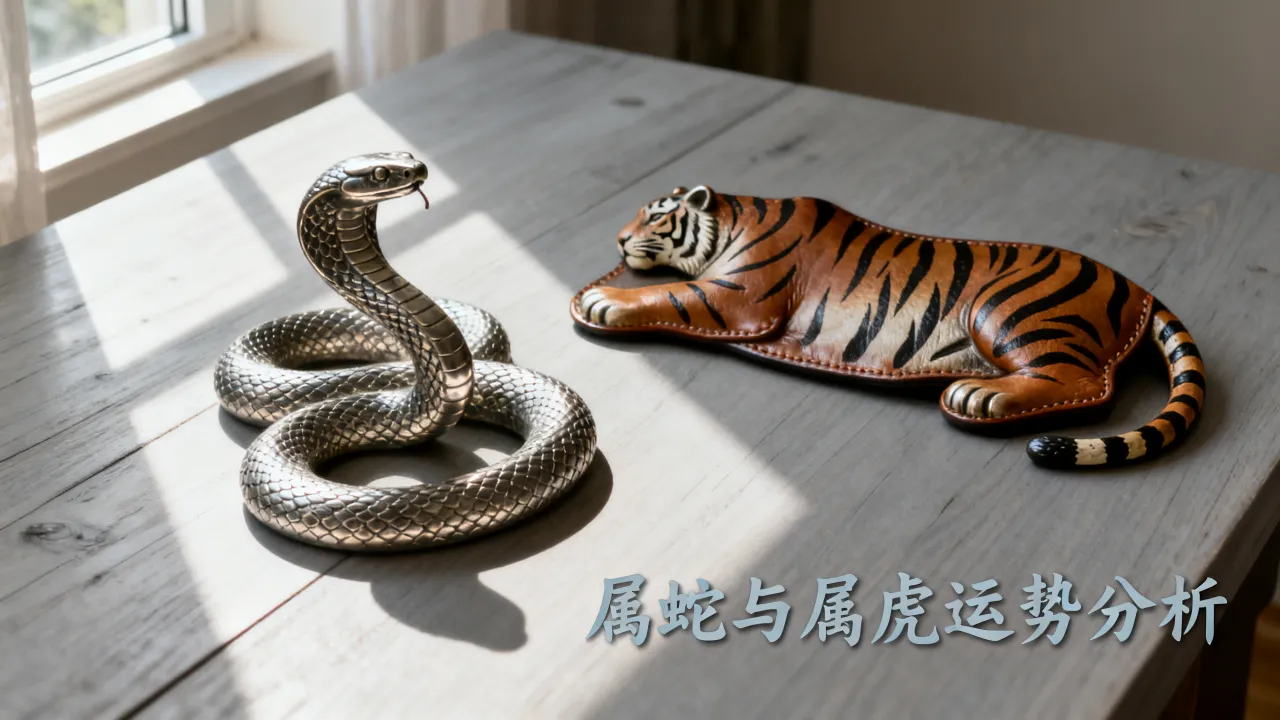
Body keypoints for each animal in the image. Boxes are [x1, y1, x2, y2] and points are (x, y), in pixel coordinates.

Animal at [570, 185, 1206, 469]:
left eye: (655, 215)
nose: (619, 241)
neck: (731, 220)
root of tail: (1138, 289)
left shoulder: (737, 298)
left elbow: (668, 292)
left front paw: (601, 297)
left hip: (1006, 310)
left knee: (1081, 383)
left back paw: (978, 395)